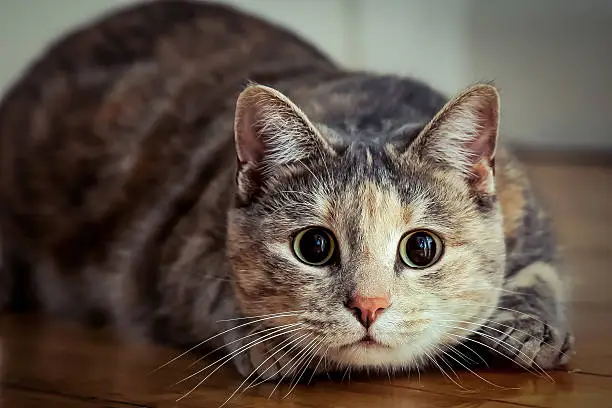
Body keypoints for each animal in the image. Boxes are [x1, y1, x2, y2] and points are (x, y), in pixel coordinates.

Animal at [1, 0, 572, 386]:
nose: (369, 306)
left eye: (422, 247)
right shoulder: (177, 255)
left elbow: (543, 277)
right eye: (314, 246)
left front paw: (530, 331)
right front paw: (273, 347)